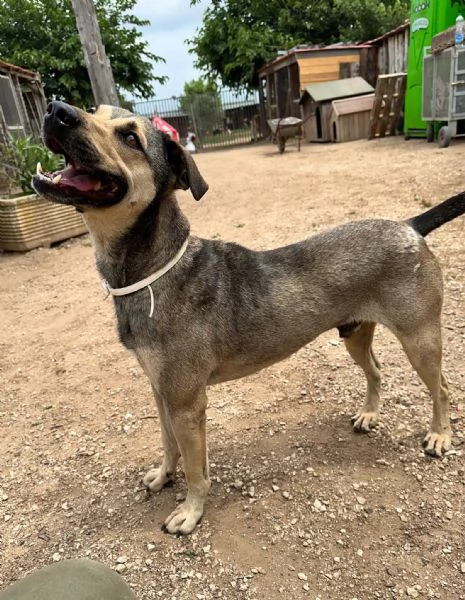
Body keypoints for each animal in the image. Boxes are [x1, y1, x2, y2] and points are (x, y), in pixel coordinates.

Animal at [31, 101, 464, 536]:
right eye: (95, 110)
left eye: (130, 137)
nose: (56, 109)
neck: (154, 270)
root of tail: (409, 226)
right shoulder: (160, 390)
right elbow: (168, 444)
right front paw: (163, 476)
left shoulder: (187, 403)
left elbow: (195, 469)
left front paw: (190, 511)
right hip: (355, 334)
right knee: (375, 370)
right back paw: (371, 414)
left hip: (420, 339)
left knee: (442, 388)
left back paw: (440, 436)